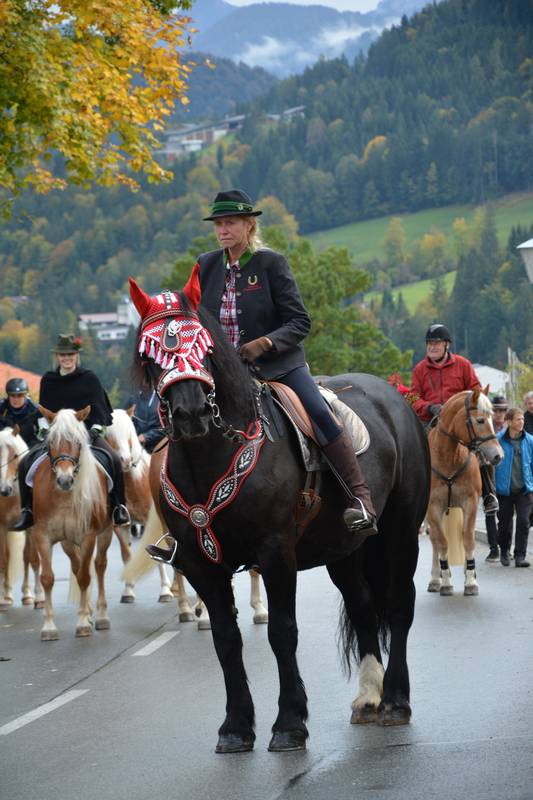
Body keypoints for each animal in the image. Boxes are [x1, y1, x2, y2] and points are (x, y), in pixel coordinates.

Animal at [31, 406, 115, 640]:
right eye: (51, 442)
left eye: (77, 442)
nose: (64, 479)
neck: (63, 496)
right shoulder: (42, 536)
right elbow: (48, 578)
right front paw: (49, 627)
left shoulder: (88, 537)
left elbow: (86, 577)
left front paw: (83, 623)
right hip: (67, 541)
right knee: (77, 567)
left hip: (105, 532)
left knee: (99, 566)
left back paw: (101, 616)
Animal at [105, 408, 174, 604]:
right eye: (108, 434)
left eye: (129, 432)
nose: (125, 460)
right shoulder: (121, 525)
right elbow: (126, 555)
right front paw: (128, 590)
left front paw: (165, 591)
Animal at [129, 277, 430, 754]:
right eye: (148, 354)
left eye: (203, 344)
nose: (192, 413)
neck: (213, 455)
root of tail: (396, 399)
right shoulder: (200, 565)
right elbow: (226, 640)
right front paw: (235, 726)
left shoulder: (275, 554)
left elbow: (281, 632)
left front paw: (289, 722)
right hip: (344, 550)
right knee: (363, 605)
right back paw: (369, 695)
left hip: (400, 534)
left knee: (400, 603)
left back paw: (396, 700)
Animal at [426, 388, 503, 596]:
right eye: (480, 420)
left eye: (493, 418)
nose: (498, 456)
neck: (449, 457)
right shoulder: (433, 508)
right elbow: (442, 543)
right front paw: (446, 582)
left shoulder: (469, 503)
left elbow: (468, 539)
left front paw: (471, 580)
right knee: (435, 541)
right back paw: (435, 579)